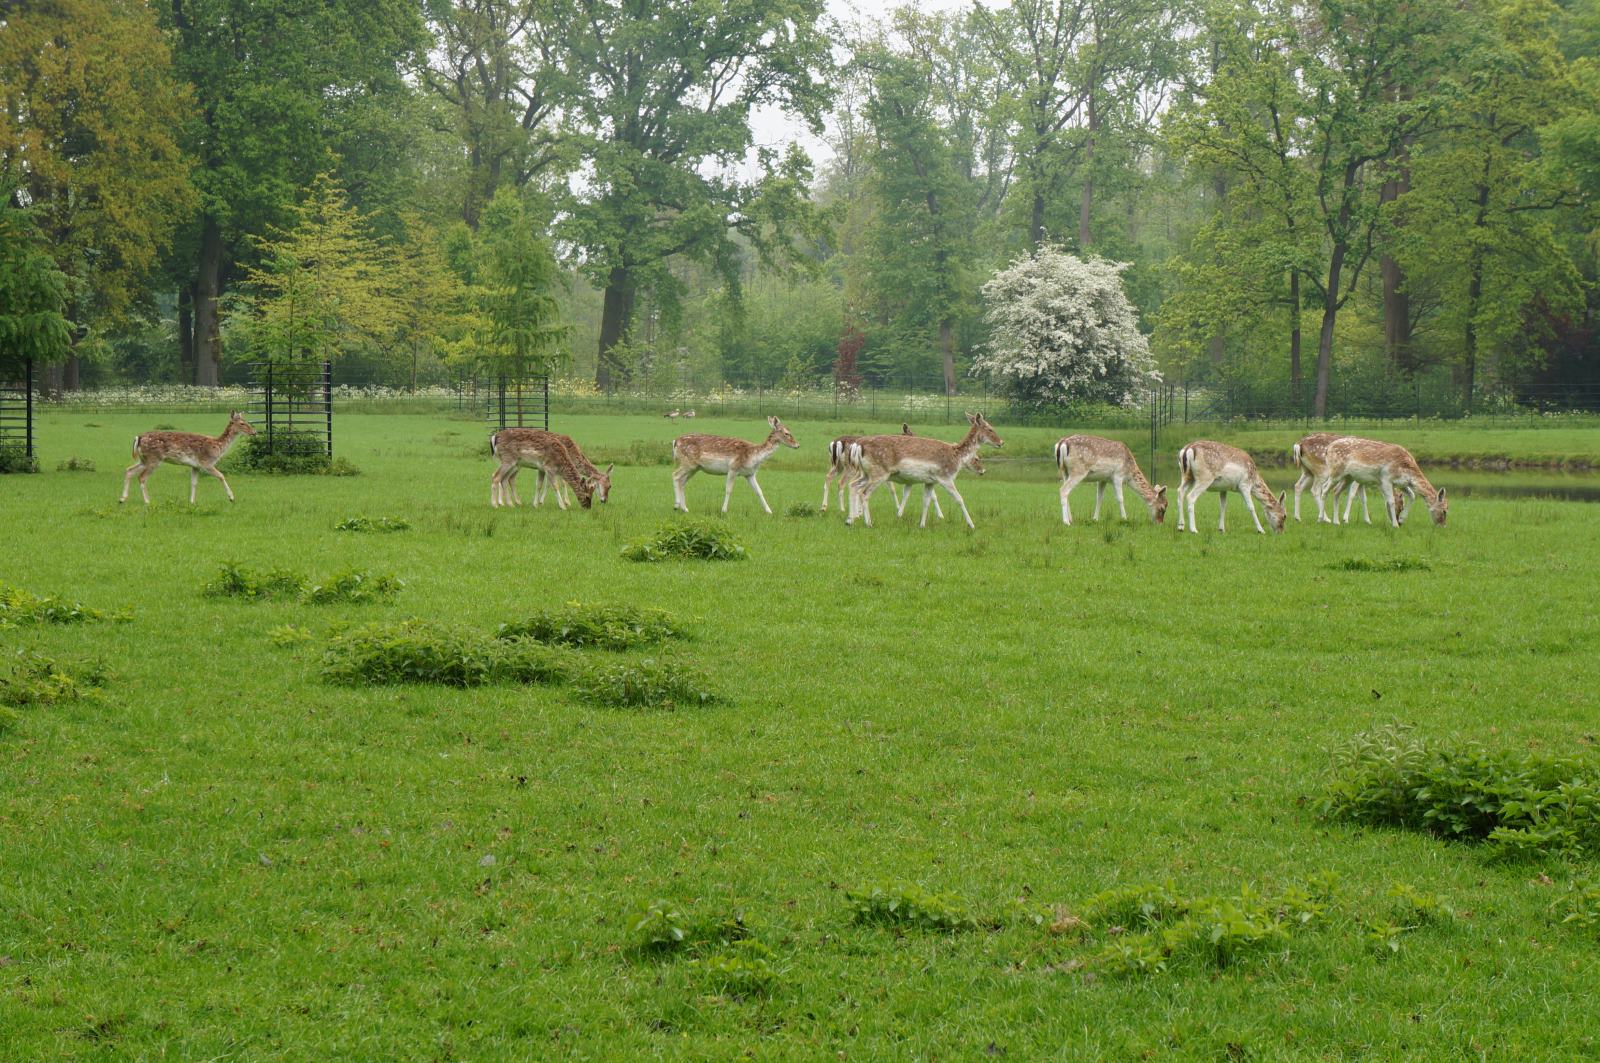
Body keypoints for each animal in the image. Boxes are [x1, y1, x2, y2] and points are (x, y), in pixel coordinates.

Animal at [120, 408, 256, 505]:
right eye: (242, 423)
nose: (254, 432)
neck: (218, 446)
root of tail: (138, 438)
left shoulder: (195, 466)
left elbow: (194, 482)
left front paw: (191, 502)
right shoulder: (206, 462)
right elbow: (221, 475)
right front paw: (232, 497)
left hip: (144, 459)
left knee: (129, 470)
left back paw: (122, 499)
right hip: (154, 458)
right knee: (142, 477)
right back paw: (147, 501)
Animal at [668, 416, 800, 515]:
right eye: (787, 433)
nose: (797, 445)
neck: (754, 456)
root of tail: (675, 441)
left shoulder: (750, 474)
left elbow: (759, 491)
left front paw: (769, 511)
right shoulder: (733, 468)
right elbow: (729, 490)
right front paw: (724, 510)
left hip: (695, 468)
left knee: (682, 482)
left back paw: (685, 508)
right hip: (688, 462)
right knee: (675, 475)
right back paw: (676, 505)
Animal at [844, 409, 1004, 528]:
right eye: (990, 429)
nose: (1001, 442)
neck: (956, 458)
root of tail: (858, 445)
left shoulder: (930, 481)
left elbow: (926, 501)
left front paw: (921, 525)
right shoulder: (945, 477)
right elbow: (959, 499)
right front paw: (971, 525)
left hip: (866, 473)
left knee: (853, 485)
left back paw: (850, 520)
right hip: (879, 472)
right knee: (864, 492)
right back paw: (868, 523)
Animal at [1312, 435, 1452, 528]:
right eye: (1444, 510)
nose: (1443, 526)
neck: (1406, 468)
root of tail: (1328, 449)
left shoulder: (1401, 483)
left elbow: (1412, 495)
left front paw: (1402, 519)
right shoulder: (1385, 478)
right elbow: (1390, 501)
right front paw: (1395, 525)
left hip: (1348, 477)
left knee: (1336, 492)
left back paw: (1336, 521)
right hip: (1335, 471)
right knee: (1324, 489)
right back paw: (1321, 519)